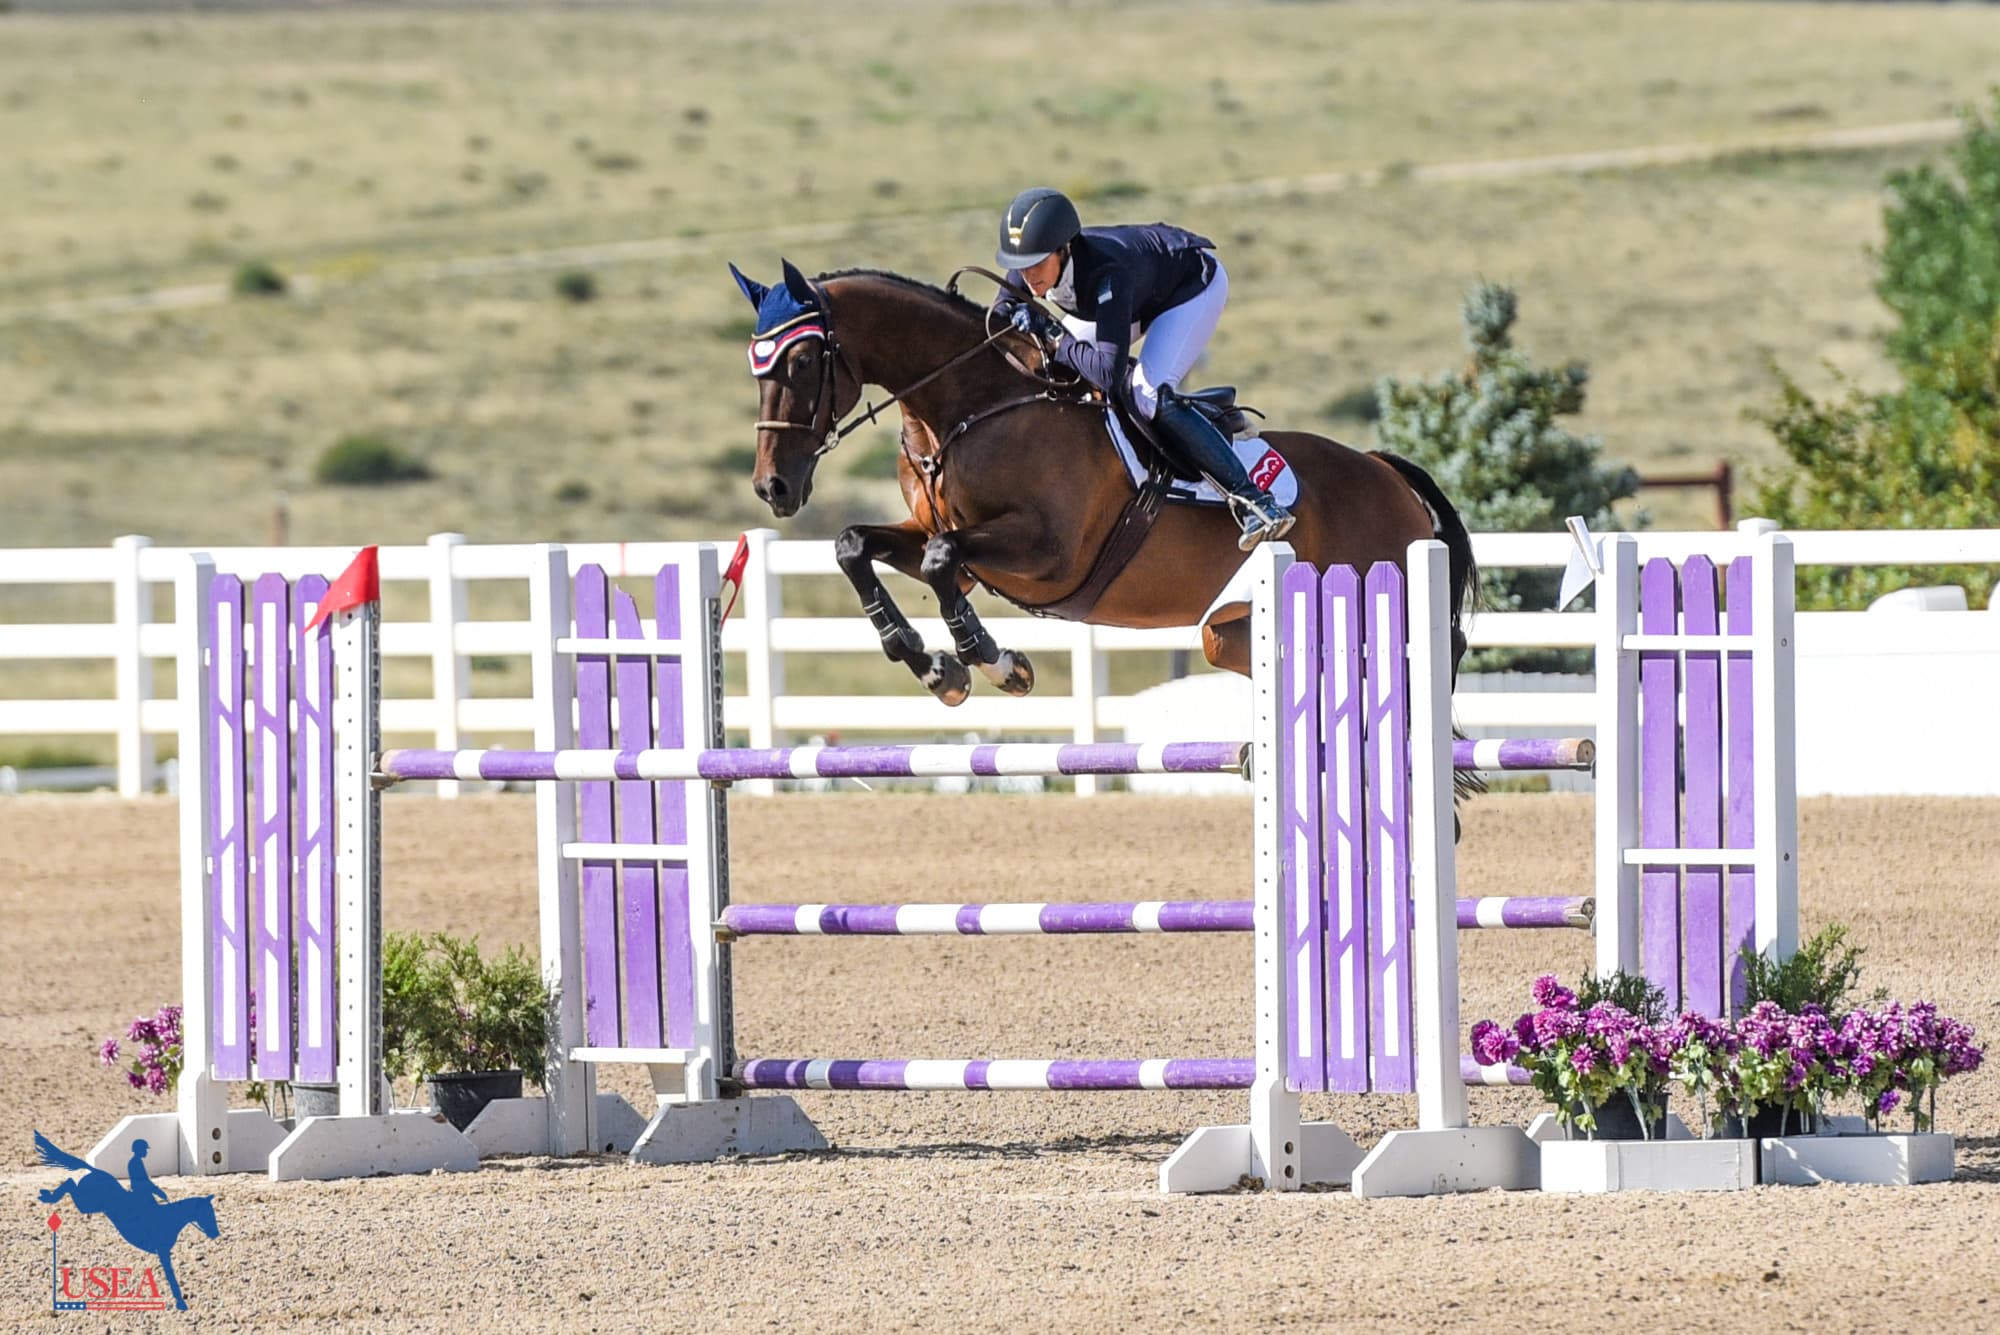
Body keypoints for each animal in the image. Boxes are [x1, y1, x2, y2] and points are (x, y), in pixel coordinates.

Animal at [729, 259, 1478, 704]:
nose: (773, 489)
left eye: (801, 363)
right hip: (1234, 630)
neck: (967, 408)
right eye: (754, 366)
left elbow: (943, 562)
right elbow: (855, 546)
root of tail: (1384, 469)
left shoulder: (1046, 553)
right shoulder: (943, 540)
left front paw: (996, 662)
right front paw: (937, 669)